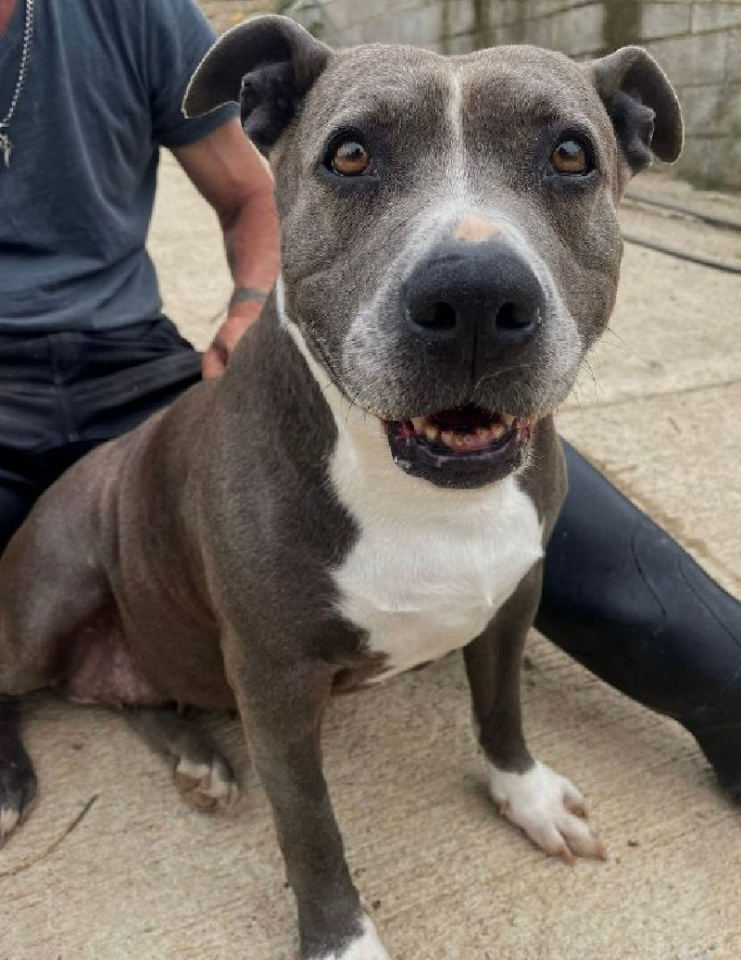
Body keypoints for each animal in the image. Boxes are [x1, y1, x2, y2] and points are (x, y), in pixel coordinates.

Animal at [0, 15, 682, 959]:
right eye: (350, 155)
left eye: (570, 154)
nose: (475, 298)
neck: (421, 496)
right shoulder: (275, 679)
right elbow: (310, 826)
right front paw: (342, 940)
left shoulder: (512, 597)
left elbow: (501, 711)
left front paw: (527, 796)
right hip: (48, 599)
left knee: (121, 691)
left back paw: (194, 754)